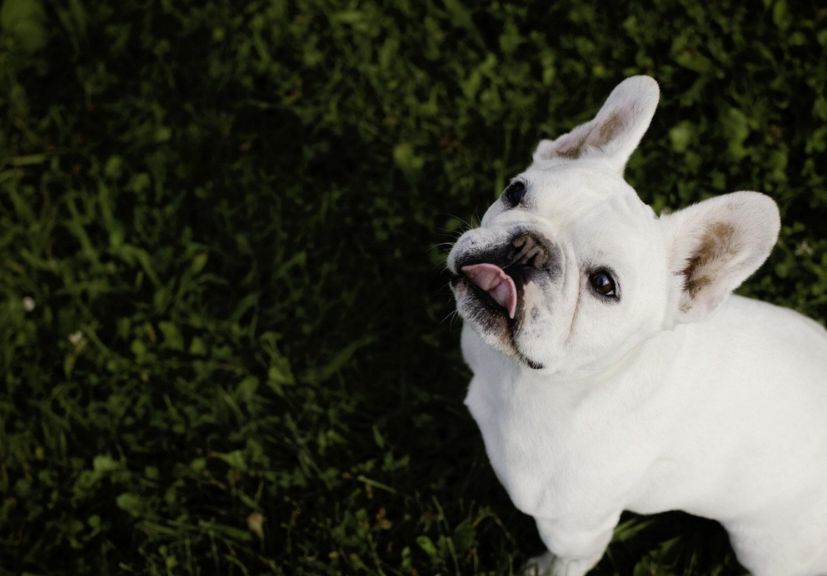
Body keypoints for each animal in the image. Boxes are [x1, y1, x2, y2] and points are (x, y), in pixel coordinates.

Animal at [450, 76, 827, 576]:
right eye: (514, 191)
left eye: (604, 284)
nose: (528, 247)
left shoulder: (575, 527)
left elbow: (569, 560)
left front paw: (546, 567)